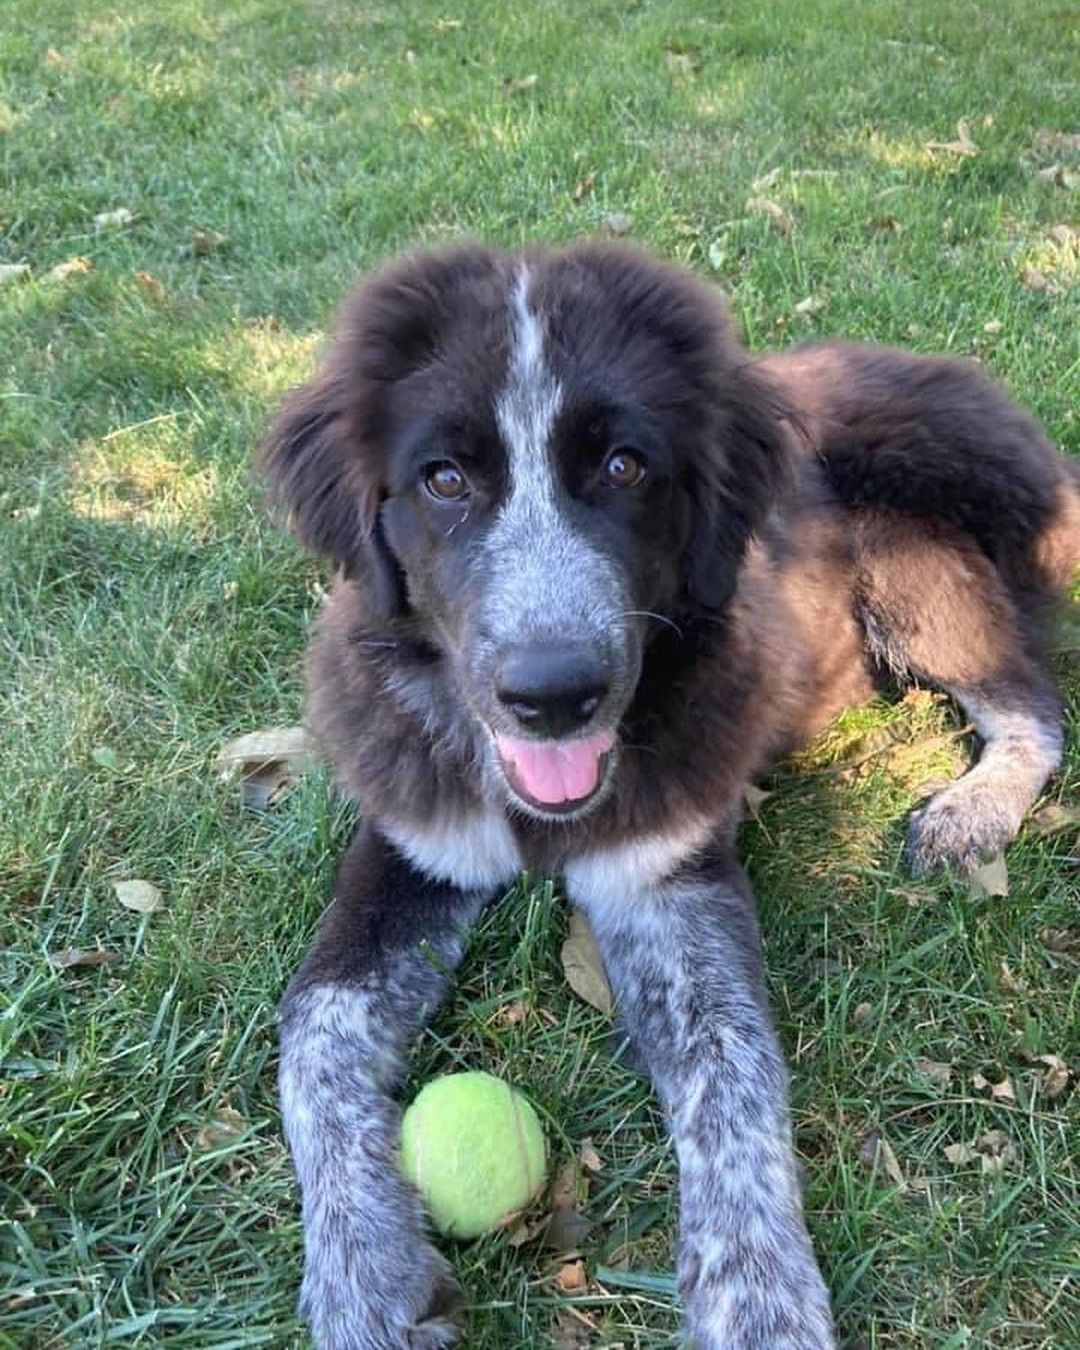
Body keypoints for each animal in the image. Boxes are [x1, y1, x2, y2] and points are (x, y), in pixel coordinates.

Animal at [263, 243, 1080, 1350]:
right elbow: (309, 1028)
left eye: (624, 467)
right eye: (444, 480)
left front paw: (762, 1304)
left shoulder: (670, 877)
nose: (554, 696)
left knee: (1032, 703)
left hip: (914, 554)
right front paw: (363, 1272)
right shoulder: (409, 841)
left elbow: (731, 1069)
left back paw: (972, 811)